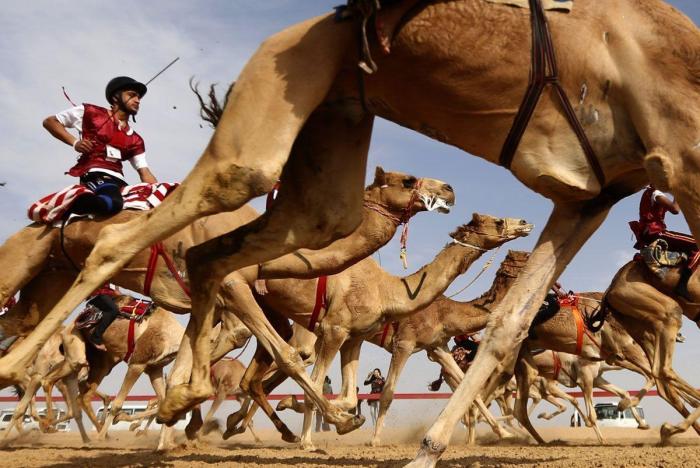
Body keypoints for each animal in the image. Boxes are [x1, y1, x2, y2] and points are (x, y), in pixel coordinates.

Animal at [6, 1, 700, 464]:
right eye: (409, 177)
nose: (453, 192)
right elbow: (373, 388)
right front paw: (341, 429)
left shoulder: (586, 198)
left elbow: (498, 337)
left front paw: (426, 443)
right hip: (262, 130)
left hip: (324, 166)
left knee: (205, 276)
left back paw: (178, 408)